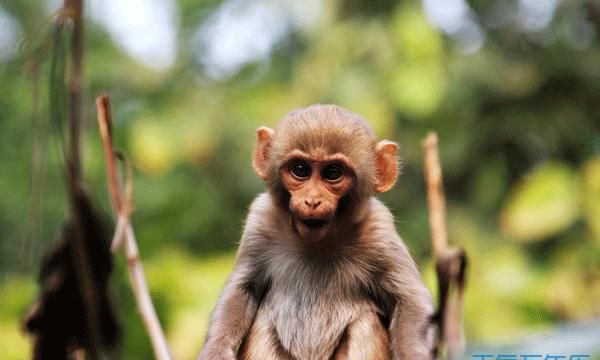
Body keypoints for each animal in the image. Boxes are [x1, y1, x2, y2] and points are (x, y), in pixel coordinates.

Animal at [199, 105, 434, 360]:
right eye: (300, 169)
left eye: (333, 173)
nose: (312, 201)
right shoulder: (260, 221)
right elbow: (243, 288)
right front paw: (216, 350)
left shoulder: (379, 230)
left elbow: (410, 301)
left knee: (364, 322)